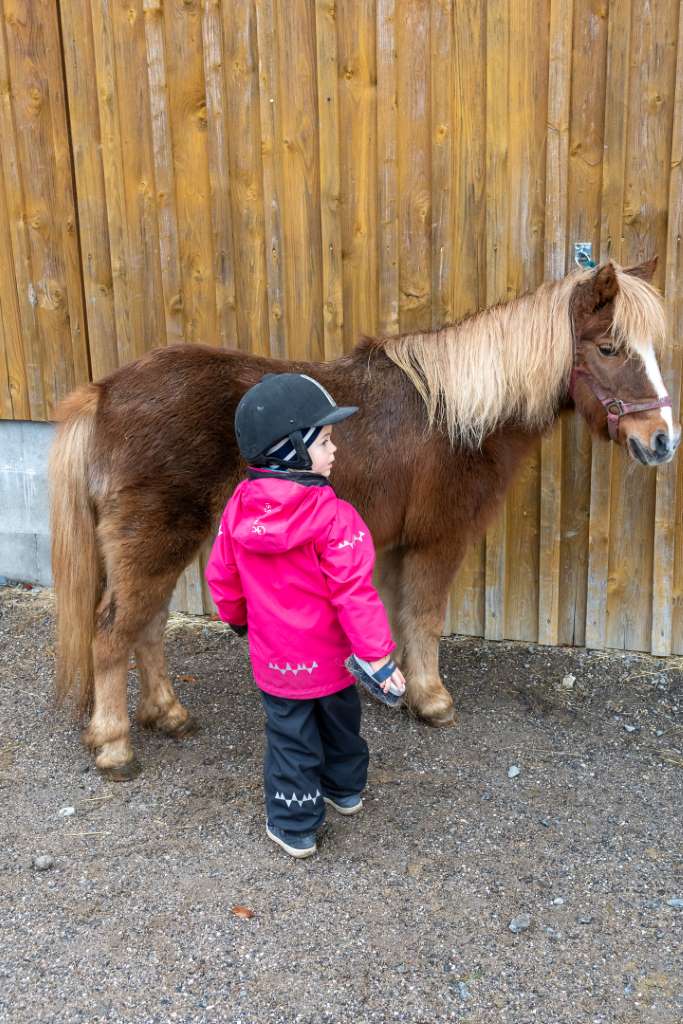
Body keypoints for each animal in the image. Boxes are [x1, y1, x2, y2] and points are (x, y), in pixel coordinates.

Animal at [49, 260, 679, 778]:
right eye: (609, 348)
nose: (662, 441)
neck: (455, 414)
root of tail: (105, 392)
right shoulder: (436, 541)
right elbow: (424, 617)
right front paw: (432, 700)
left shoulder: (399, 546)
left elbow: (397, 618)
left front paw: (398, 688)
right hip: (154, 542)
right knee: (114, 634)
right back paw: (115, 746)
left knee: (148, 627)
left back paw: (168, 715)